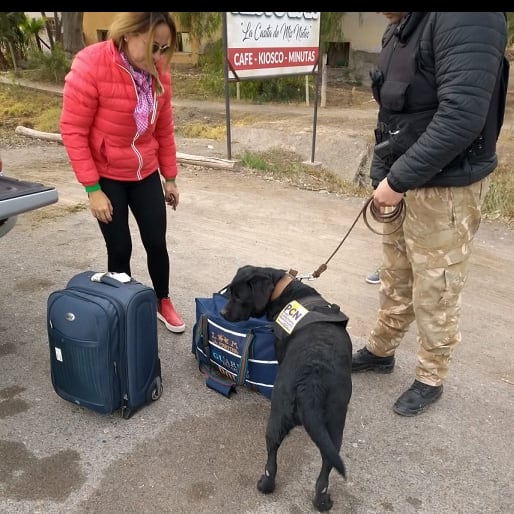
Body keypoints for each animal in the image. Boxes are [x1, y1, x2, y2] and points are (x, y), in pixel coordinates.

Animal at [220, 264, 352, 508]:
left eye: (238, 296)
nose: (223, 314)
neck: (285, 289)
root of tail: (312, 381)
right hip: (332, 426)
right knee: (324, 469)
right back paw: (320, 500)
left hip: (280, 416)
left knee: (273, 460)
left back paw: (267, 485)